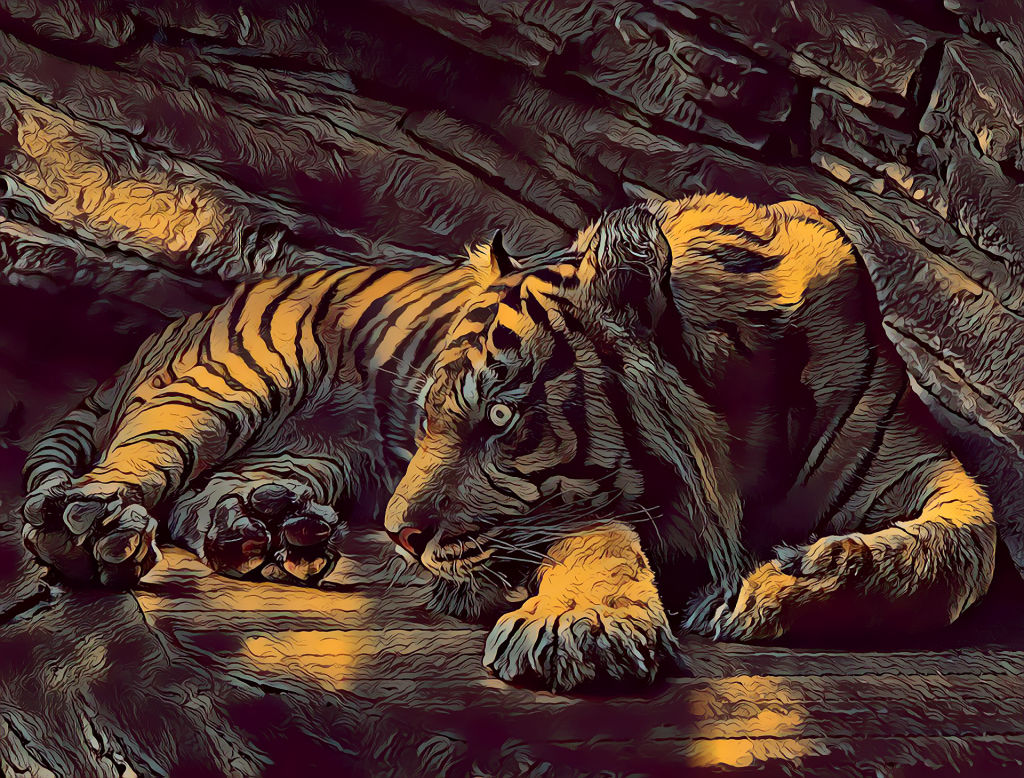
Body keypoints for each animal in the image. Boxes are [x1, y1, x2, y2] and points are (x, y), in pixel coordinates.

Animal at [21, 194, 997, 692]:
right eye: (431, 417)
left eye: (498, 421)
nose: (402, 538)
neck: (747, 427)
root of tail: (186, 316)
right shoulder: (576, 509)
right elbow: (593, 540)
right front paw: (582, 627)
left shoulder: (925, 467)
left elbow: (965, 549)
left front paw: (789, 585)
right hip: (229, 381)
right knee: (140, 466)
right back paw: (88, 529)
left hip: (316, 451)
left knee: (209, 493)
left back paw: (269, 528)